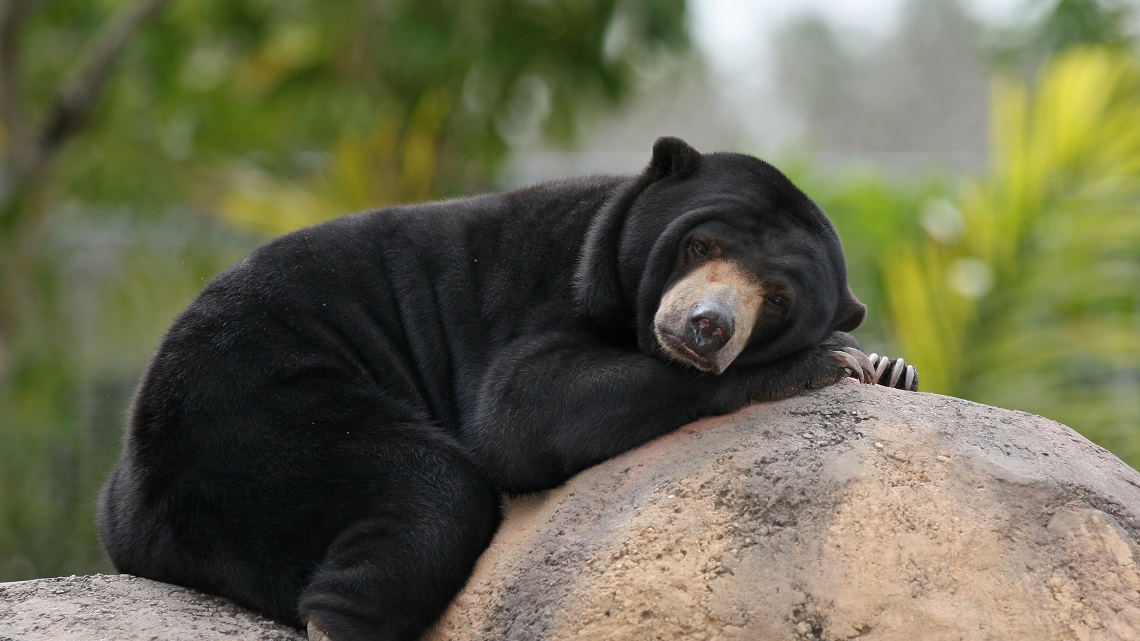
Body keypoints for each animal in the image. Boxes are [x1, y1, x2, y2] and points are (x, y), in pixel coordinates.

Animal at [97, 137, 918, 641]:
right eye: (700, 245)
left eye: (775, 299)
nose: (708, 327)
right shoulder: (545, 291)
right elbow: (519, 413)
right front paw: (831, 361)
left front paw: (890, 367)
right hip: (254, 407)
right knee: (432, 490)